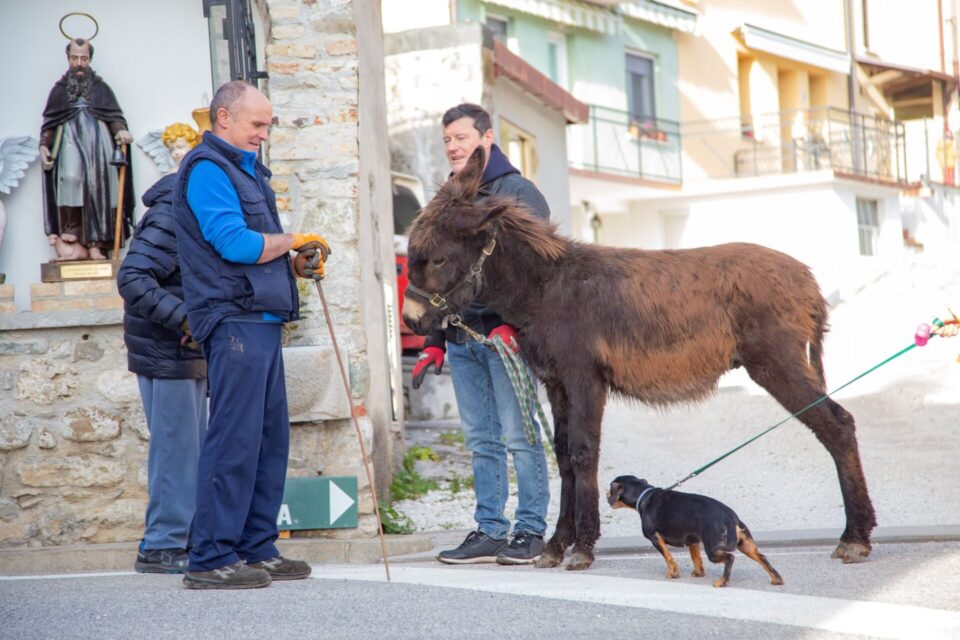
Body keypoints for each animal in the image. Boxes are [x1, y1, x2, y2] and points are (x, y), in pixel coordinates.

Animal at [612, 472, 784, 588]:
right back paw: (777, 579)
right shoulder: (692, 541)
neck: (644, 495)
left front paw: (673, 574)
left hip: (714, 551)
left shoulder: (656, 538)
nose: (607, 495)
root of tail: (732, 517)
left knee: (730, 558)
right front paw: (699, 573)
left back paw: (722, 582)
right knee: (763, 558)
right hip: (746, 546)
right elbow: (696, 559)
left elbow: (669, 558)